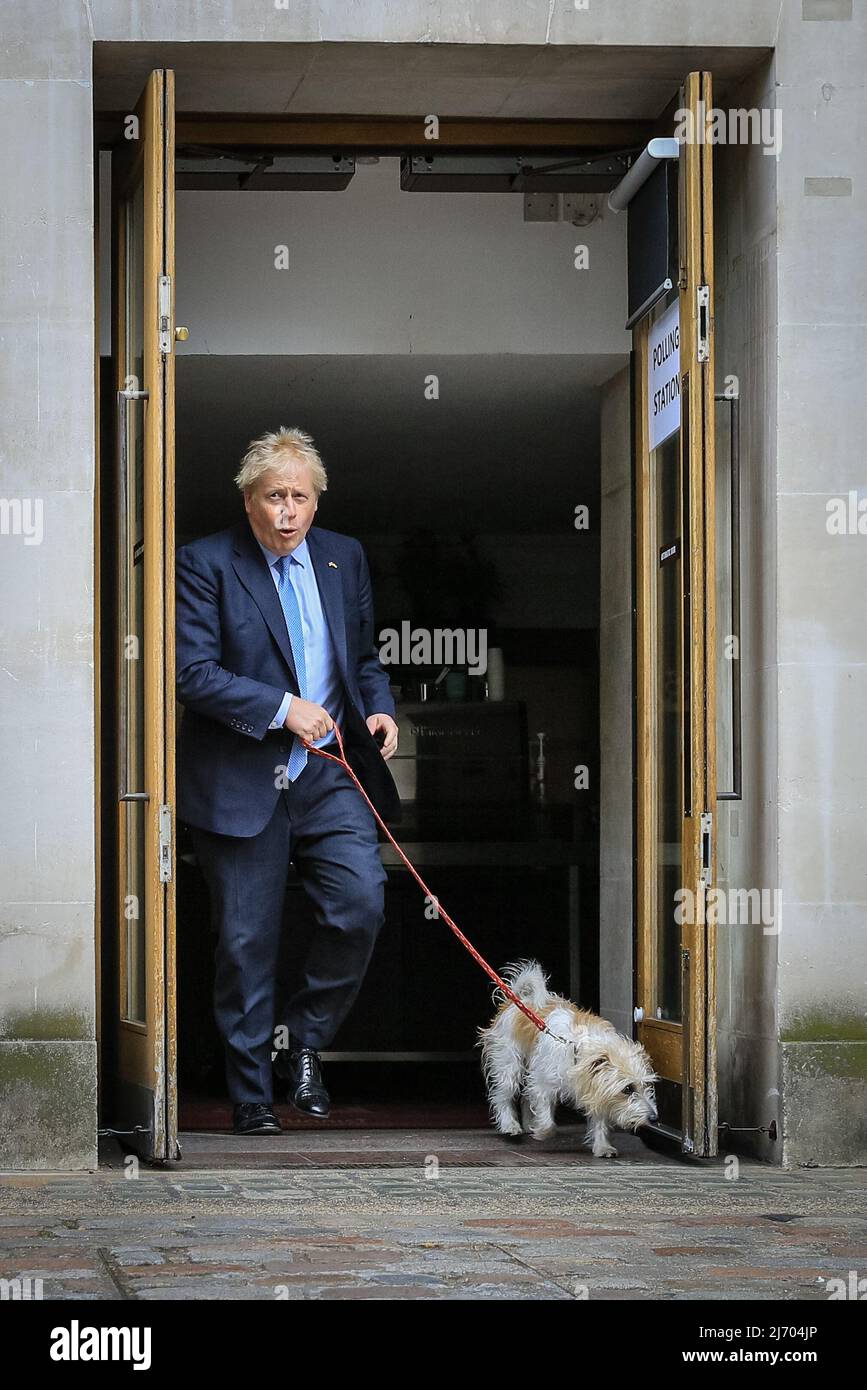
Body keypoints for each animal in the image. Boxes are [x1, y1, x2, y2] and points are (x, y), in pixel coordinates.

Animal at [475, 961, 655, 1156]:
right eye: (628, 1089)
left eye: (646, 1085)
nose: (654, 1117)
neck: (578, 1051)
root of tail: (517, 999)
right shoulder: (543, 1082)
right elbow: (548, 1122)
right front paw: (541, 1131)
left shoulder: (596, 1088)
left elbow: (599, 1119)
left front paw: (602, 1146)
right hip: (509, 1065)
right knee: (503, 1096)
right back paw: (510, 1125)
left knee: (524, 1096)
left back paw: (528, 1123)